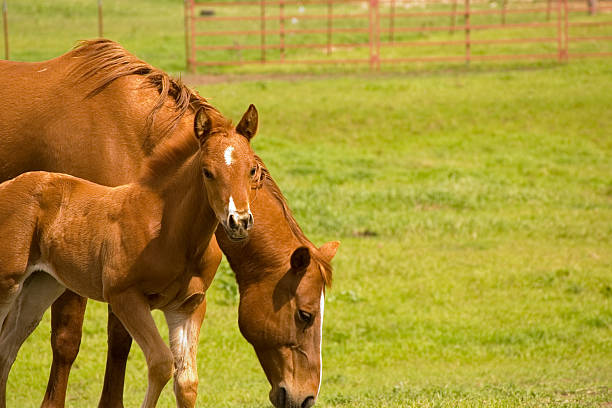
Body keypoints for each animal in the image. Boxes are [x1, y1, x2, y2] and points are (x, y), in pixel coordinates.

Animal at [0, 103, 260, 408]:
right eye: (207, 172)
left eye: (252, 169)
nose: (239, 222)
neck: (169, 230)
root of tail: (8, 185)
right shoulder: (124, 297)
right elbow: (161, 363)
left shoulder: (188, 305)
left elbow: (187, 381)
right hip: (7, 283)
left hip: (40, 286)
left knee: (6, 350)